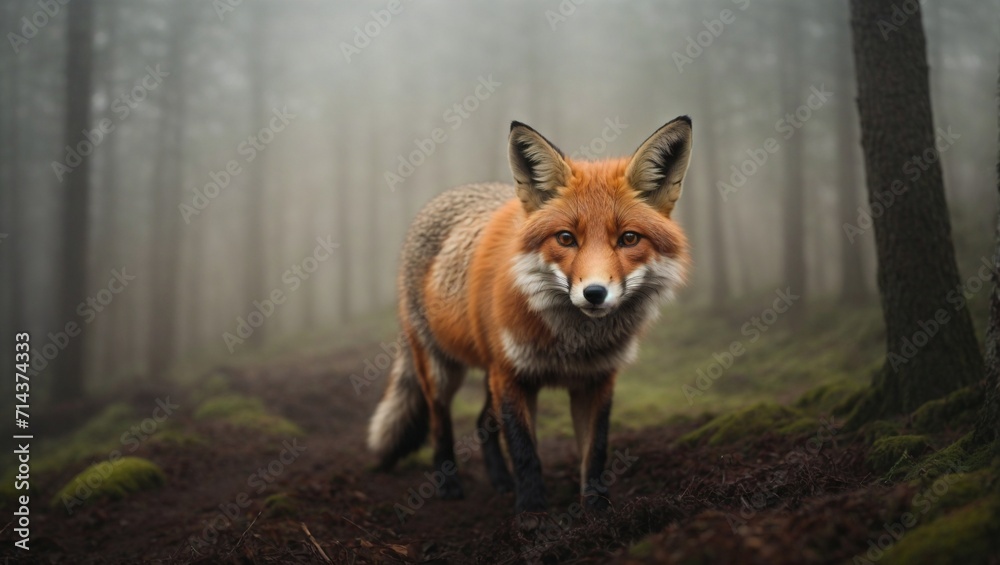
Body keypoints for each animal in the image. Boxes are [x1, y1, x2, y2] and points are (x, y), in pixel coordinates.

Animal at [367, 116, 693, 515]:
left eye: (629, 239)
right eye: (566, 238)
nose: (595, 293)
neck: (571, 344)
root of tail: (450, 194)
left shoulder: (596, 380)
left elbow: (595, 454)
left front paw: (596, 512)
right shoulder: (513, 377)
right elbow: (525, 451)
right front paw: (533, 513)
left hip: (489, 369)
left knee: (482, 422)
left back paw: (501, 482)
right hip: (442, 368)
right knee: (440, 424)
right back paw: (449, 485)